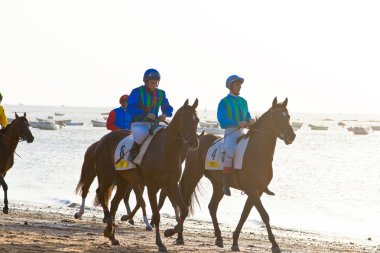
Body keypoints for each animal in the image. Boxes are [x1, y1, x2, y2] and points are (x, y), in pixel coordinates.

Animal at [94, 99, 199, 251]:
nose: (194, 143)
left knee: (114, 203)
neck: (166, 150)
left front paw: (169, 232)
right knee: (100, 193)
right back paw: (108, 222)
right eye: (185, 120)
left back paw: (112, 235)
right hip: (106, 176)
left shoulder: (171, 185)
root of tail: (102, 140)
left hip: (123, 181)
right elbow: (156, 214)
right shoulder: (151, 187)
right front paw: (160, 243)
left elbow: (184, 210)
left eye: (197, 120)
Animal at [179, 97, 296, 253]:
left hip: (218, 185)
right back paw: (179, 237)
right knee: (186, 203)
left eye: (288, 116)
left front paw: (234, 241)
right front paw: (274, 244)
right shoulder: (252, 190)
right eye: (277, 117)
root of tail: (198, 140)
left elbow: (244, 215)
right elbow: (264, 215)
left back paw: (219, 238)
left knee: (212, 207)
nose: (292, 136)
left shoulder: (256, 191)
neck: (257, 153)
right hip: (192, 176)